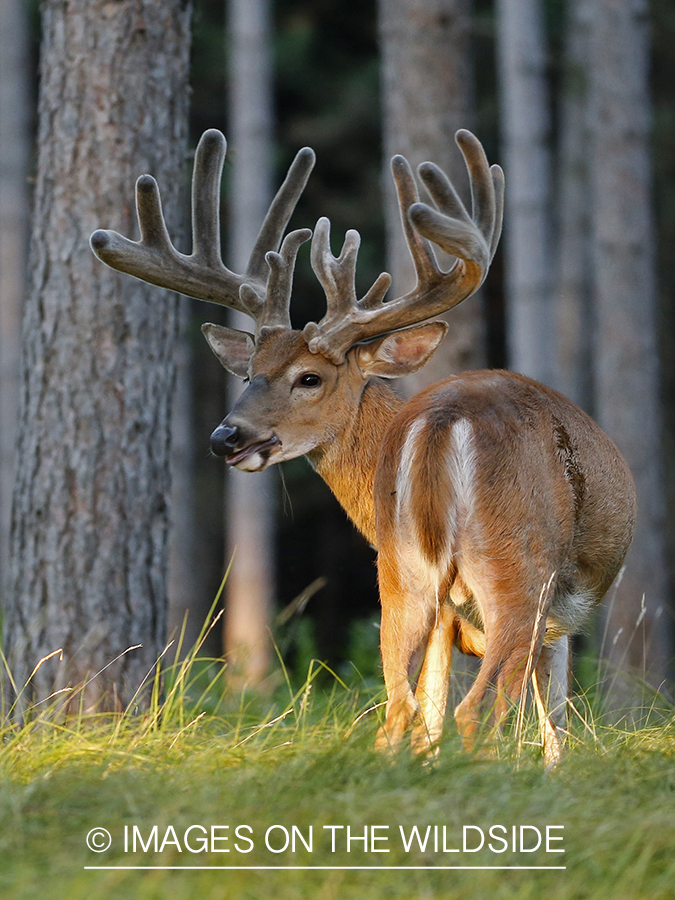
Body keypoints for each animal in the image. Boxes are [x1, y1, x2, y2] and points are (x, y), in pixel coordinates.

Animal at [91, 126, 640, 764]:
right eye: (248, 371)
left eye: (309, 377)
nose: (226, 437)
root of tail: (442, 421)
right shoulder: (554, 620)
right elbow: (554, 730)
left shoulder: (457, 613)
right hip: (517, 567)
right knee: (477, 710)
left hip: (402, 575)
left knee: (400, 710)